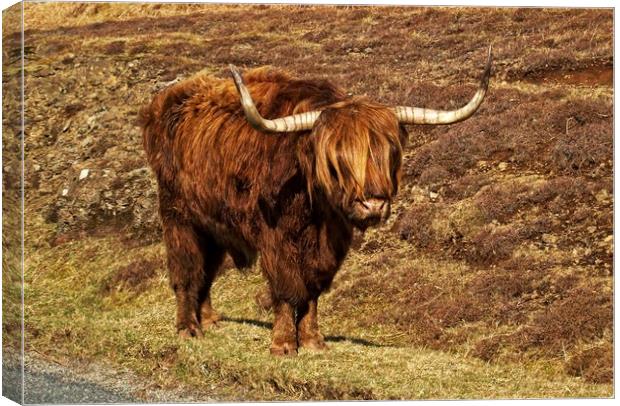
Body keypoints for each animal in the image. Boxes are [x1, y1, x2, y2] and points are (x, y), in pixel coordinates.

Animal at [138, 46, 492, 354]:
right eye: (336, 160)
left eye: (389, 153)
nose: (373, 205)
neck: (316, 211)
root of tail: (162, 103)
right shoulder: (276, 238)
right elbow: (287, 288)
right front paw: (283, 345)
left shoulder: (329, 245)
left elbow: (313, 291)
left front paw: (312, 341)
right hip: (178, 216)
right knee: (187, 271)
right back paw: (188, 328)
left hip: (213, 223)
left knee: (207, 270)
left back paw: (210, 321)